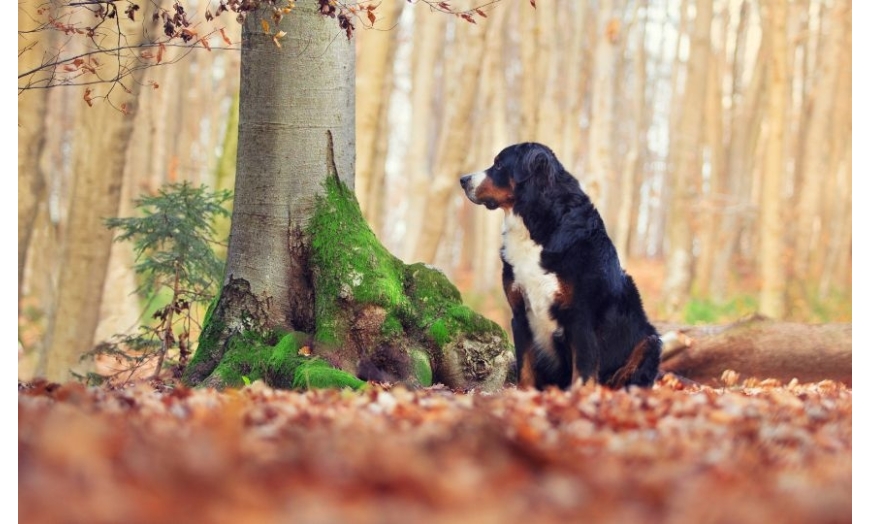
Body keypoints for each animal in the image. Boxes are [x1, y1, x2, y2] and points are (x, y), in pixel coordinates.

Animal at [464, 140, 660, 388]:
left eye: (498, 164)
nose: (463, 180)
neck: (535, 228)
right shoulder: (519, 314)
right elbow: (525, 367)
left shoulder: (581, 316)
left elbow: (583, 371)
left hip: (649, 341)